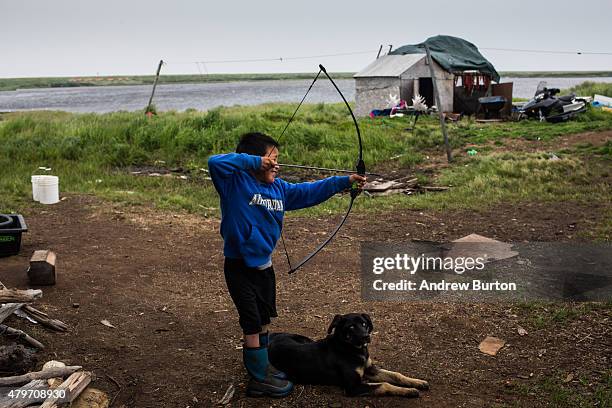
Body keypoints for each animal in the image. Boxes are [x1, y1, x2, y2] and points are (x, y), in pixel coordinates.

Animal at [268, 314, 430, 396]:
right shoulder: (353, 387)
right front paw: (409, 391)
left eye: (364, 324)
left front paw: (417, 382)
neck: (352, 349)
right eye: (351, 327)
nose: (366, 337)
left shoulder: (370, 370)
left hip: (305, 339)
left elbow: (396, 375)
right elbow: (385, 384)